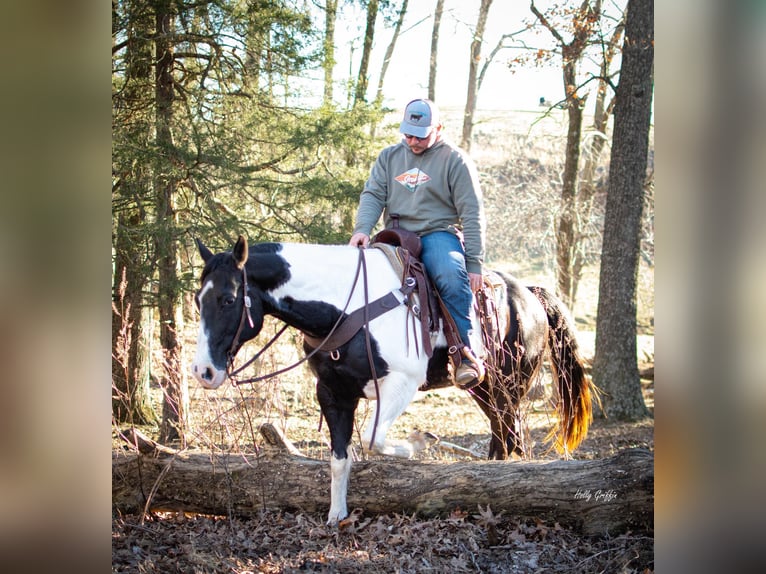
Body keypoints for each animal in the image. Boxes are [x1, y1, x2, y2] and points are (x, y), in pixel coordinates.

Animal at [194, 235, 600, 528]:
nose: (204, 372)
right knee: (503, 437)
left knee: (511, 436)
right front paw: (337, 515)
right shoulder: (332, 393)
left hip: (508, 386)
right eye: (198, 300)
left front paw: (415, 445)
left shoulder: (400, 384)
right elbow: (339, 458)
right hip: (484, 388)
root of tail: (530, 293)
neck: (347, 307)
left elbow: (372, 439)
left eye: (228, 299)